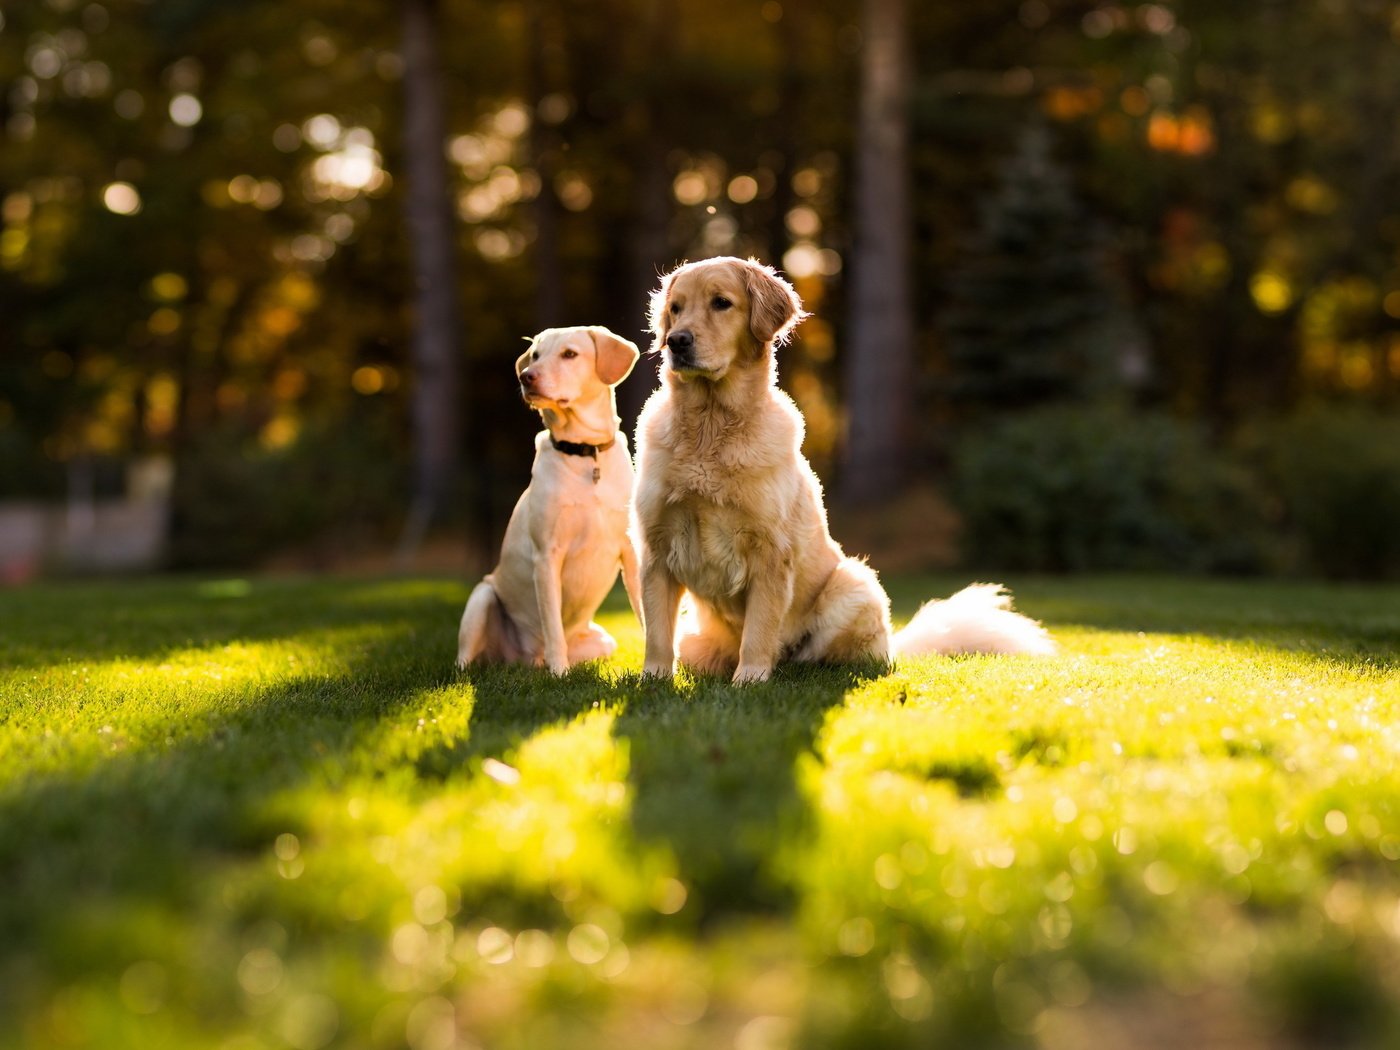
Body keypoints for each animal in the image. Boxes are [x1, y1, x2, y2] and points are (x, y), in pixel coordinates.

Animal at [453, 253, 1052, 683]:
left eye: (722, 303)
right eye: (676, 308)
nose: (676, 342)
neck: (711, 428)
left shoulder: (770, 551)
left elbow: (762, 626)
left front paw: (751, 679)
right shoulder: (654, 548)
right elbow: (655, 634)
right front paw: (652, 682)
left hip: (856, 584)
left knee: (828, 656)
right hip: (698, 634)